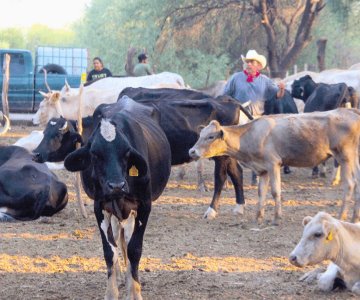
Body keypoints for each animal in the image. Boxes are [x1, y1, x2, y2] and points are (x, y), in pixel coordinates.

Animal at [63, 97, 172, 298]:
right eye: (95, 153)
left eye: (127, 152)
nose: (116, 186)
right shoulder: (100, 207)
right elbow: (109, 251)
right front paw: (111, 292)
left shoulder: (144, 206)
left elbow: (134, 249)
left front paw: (135, 292)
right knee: (117, 239)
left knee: (127, 241)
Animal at [187, 109, 360, 224]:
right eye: (200, 135)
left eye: (210, 136)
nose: (191, 151)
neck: (250, 135)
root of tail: (351, 112)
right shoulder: (262, 169)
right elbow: (261, 192)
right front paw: (258, 217)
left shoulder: (273, 163)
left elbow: (275, 191)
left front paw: (277, 218)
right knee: (357, 184)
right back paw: (354, 218)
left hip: (345, 156)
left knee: (350, 184)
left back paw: (341, 217)